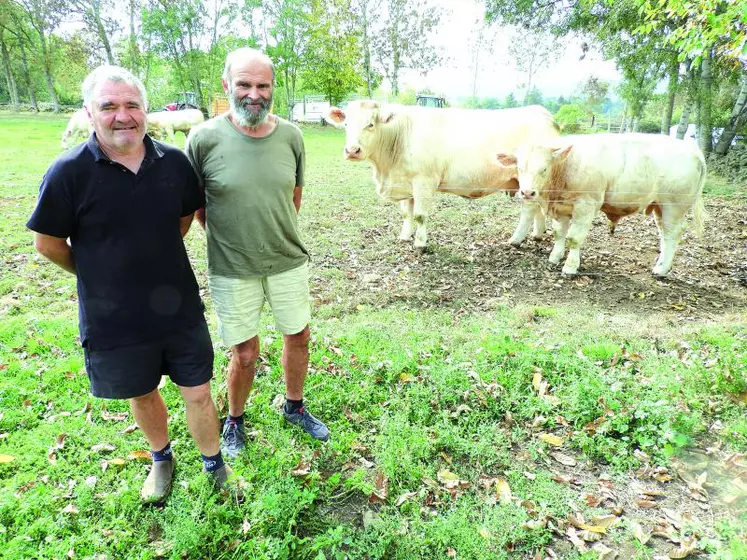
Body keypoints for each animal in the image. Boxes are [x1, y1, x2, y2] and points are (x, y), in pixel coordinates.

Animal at [324, 100, 560, 249]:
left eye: (370, 124)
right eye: (346, 124)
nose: (352, 150)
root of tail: (544, 114)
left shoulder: (423, 181)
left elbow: (420, 215)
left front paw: (420, 243)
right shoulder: (406, 182)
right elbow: (407, 213)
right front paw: (405, 236)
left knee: (528, 209)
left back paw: (516, 239)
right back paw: (537, 234)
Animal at [496, 134, 708, 278]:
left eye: (544, 168)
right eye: (519, 167)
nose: (527, 193)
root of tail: (692, 149)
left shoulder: (586, 205)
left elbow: (574, 238)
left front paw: (570, 267)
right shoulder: (561, 208)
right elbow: (559, 233)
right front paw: (555, 257)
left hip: (674, 206)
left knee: (673, 234)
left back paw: (662, 269)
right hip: (660, 207)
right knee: (665, 234)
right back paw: (662, 265)